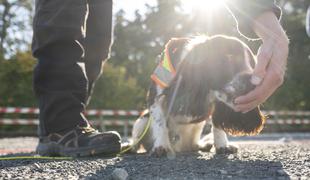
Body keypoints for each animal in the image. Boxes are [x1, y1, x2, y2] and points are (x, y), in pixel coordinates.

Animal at [132, 34, 266, 156]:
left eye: (253, 64)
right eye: (229, 57)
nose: (254, 83)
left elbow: (217, 124)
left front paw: (223, 145)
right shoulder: (155, 98)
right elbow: (160, 123)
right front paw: (161, 146)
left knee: (194, 145)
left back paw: (203, 145)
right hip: (143, 119)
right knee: (136, 139)